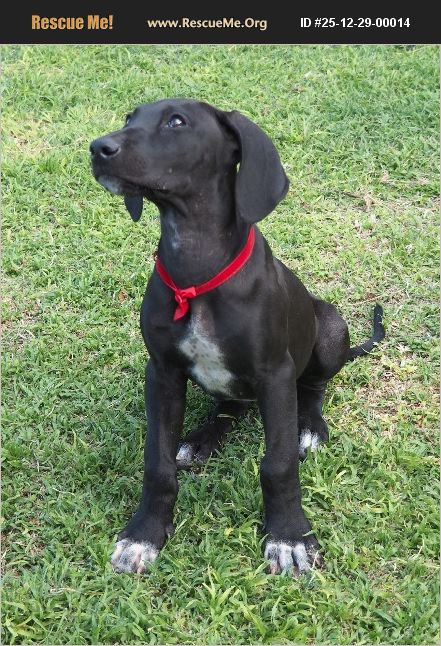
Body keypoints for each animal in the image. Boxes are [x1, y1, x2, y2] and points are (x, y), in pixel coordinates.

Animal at [90, 99, 384, 575]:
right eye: (130, 118)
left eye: (176, 121)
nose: (99, 148)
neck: (196, 266)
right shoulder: (163, 373)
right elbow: (157, 462)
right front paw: (144, 534)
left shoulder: (275, 375)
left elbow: (278, 464)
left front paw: (289, 537)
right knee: (229, 407)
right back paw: (200, 440)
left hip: (329, 327)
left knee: (314, 388)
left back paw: (310, 428)